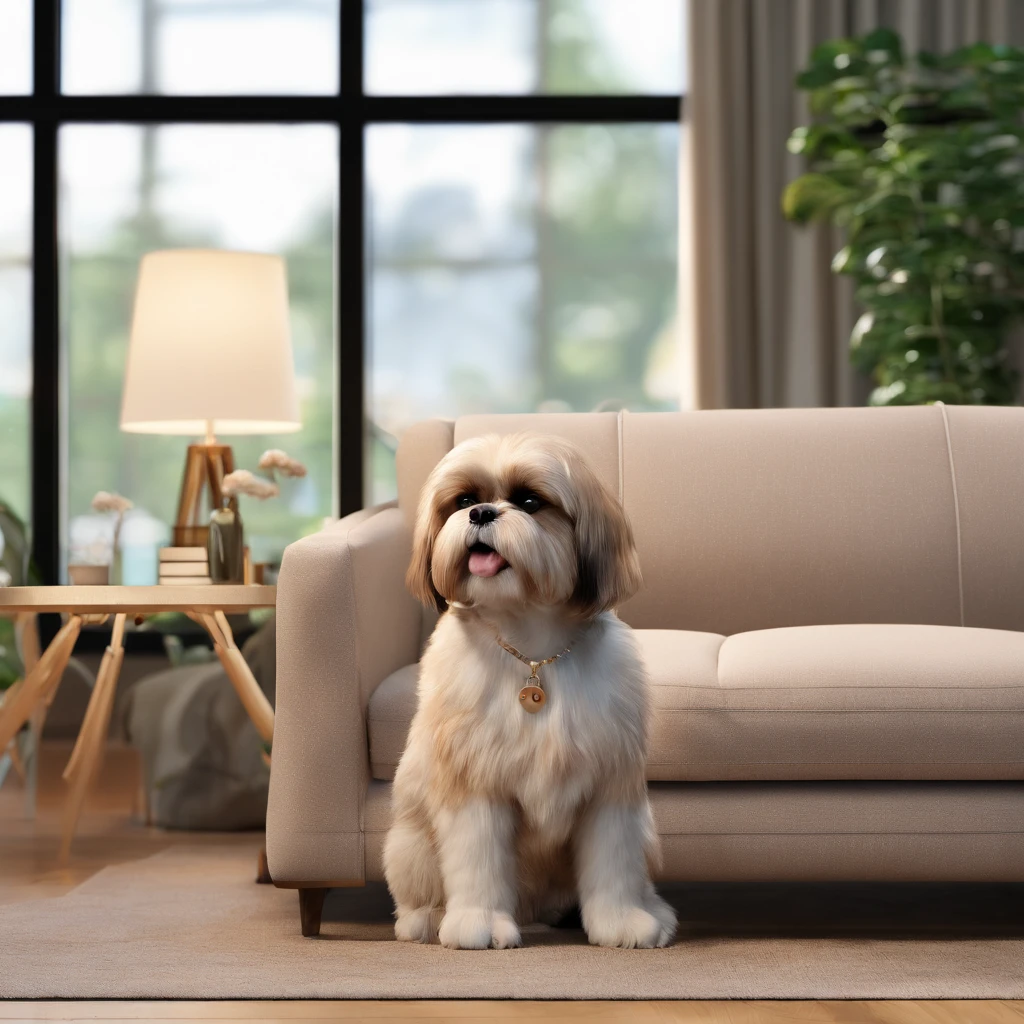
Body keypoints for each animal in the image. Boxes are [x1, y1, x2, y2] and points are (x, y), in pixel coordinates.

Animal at [380, 432, 675, 950]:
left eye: (530, 502)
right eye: (463, 500)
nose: (481, 513)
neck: (533, 650)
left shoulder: (609, 786)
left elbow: (613, 865)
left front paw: (620, 921)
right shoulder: (476, 782)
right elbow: (478, 860)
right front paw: (477, 923)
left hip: (643, 830)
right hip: (409, 845)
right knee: (416, 894)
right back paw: (429, 918)